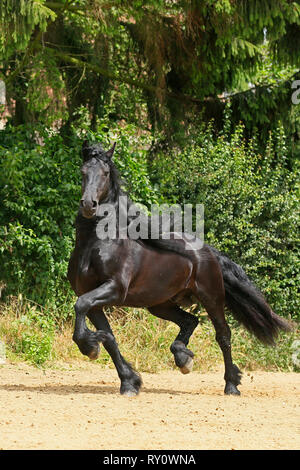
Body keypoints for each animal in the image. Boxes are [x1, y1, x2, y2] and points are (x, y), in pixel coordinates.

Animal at [67, 140, 290, 396]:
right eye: (83, 172)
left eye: (104, 173)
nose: (88, 205)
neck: (94, 244)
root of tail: (208, 250)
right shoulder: (93, 300)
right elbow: (109, 337)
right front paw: (129, 381)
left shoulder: (114, 289)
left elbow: (81, 306)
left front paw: (89, 348)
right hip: (160, 304)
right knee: (189, 321)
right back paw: (183, 358)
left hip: (211, 297)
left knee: (223, 335)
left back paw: (231, 384)